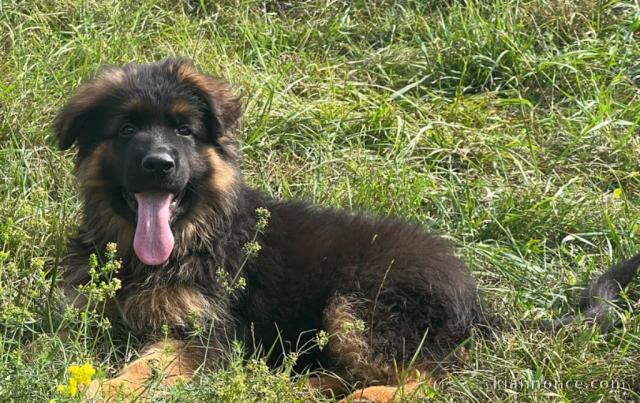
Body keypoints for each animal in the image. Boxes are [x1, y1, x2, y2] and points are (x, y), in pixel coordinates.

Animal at [56, 58, 640, 402]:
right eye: (126, 129)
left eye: (183, 130)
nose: (159, 164)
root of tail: (479, 305)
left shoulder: (206, 336)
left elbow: (149, 366)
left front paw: (101, 388)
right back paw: (303, 386)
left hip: (361, 303)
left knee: (423, 378)